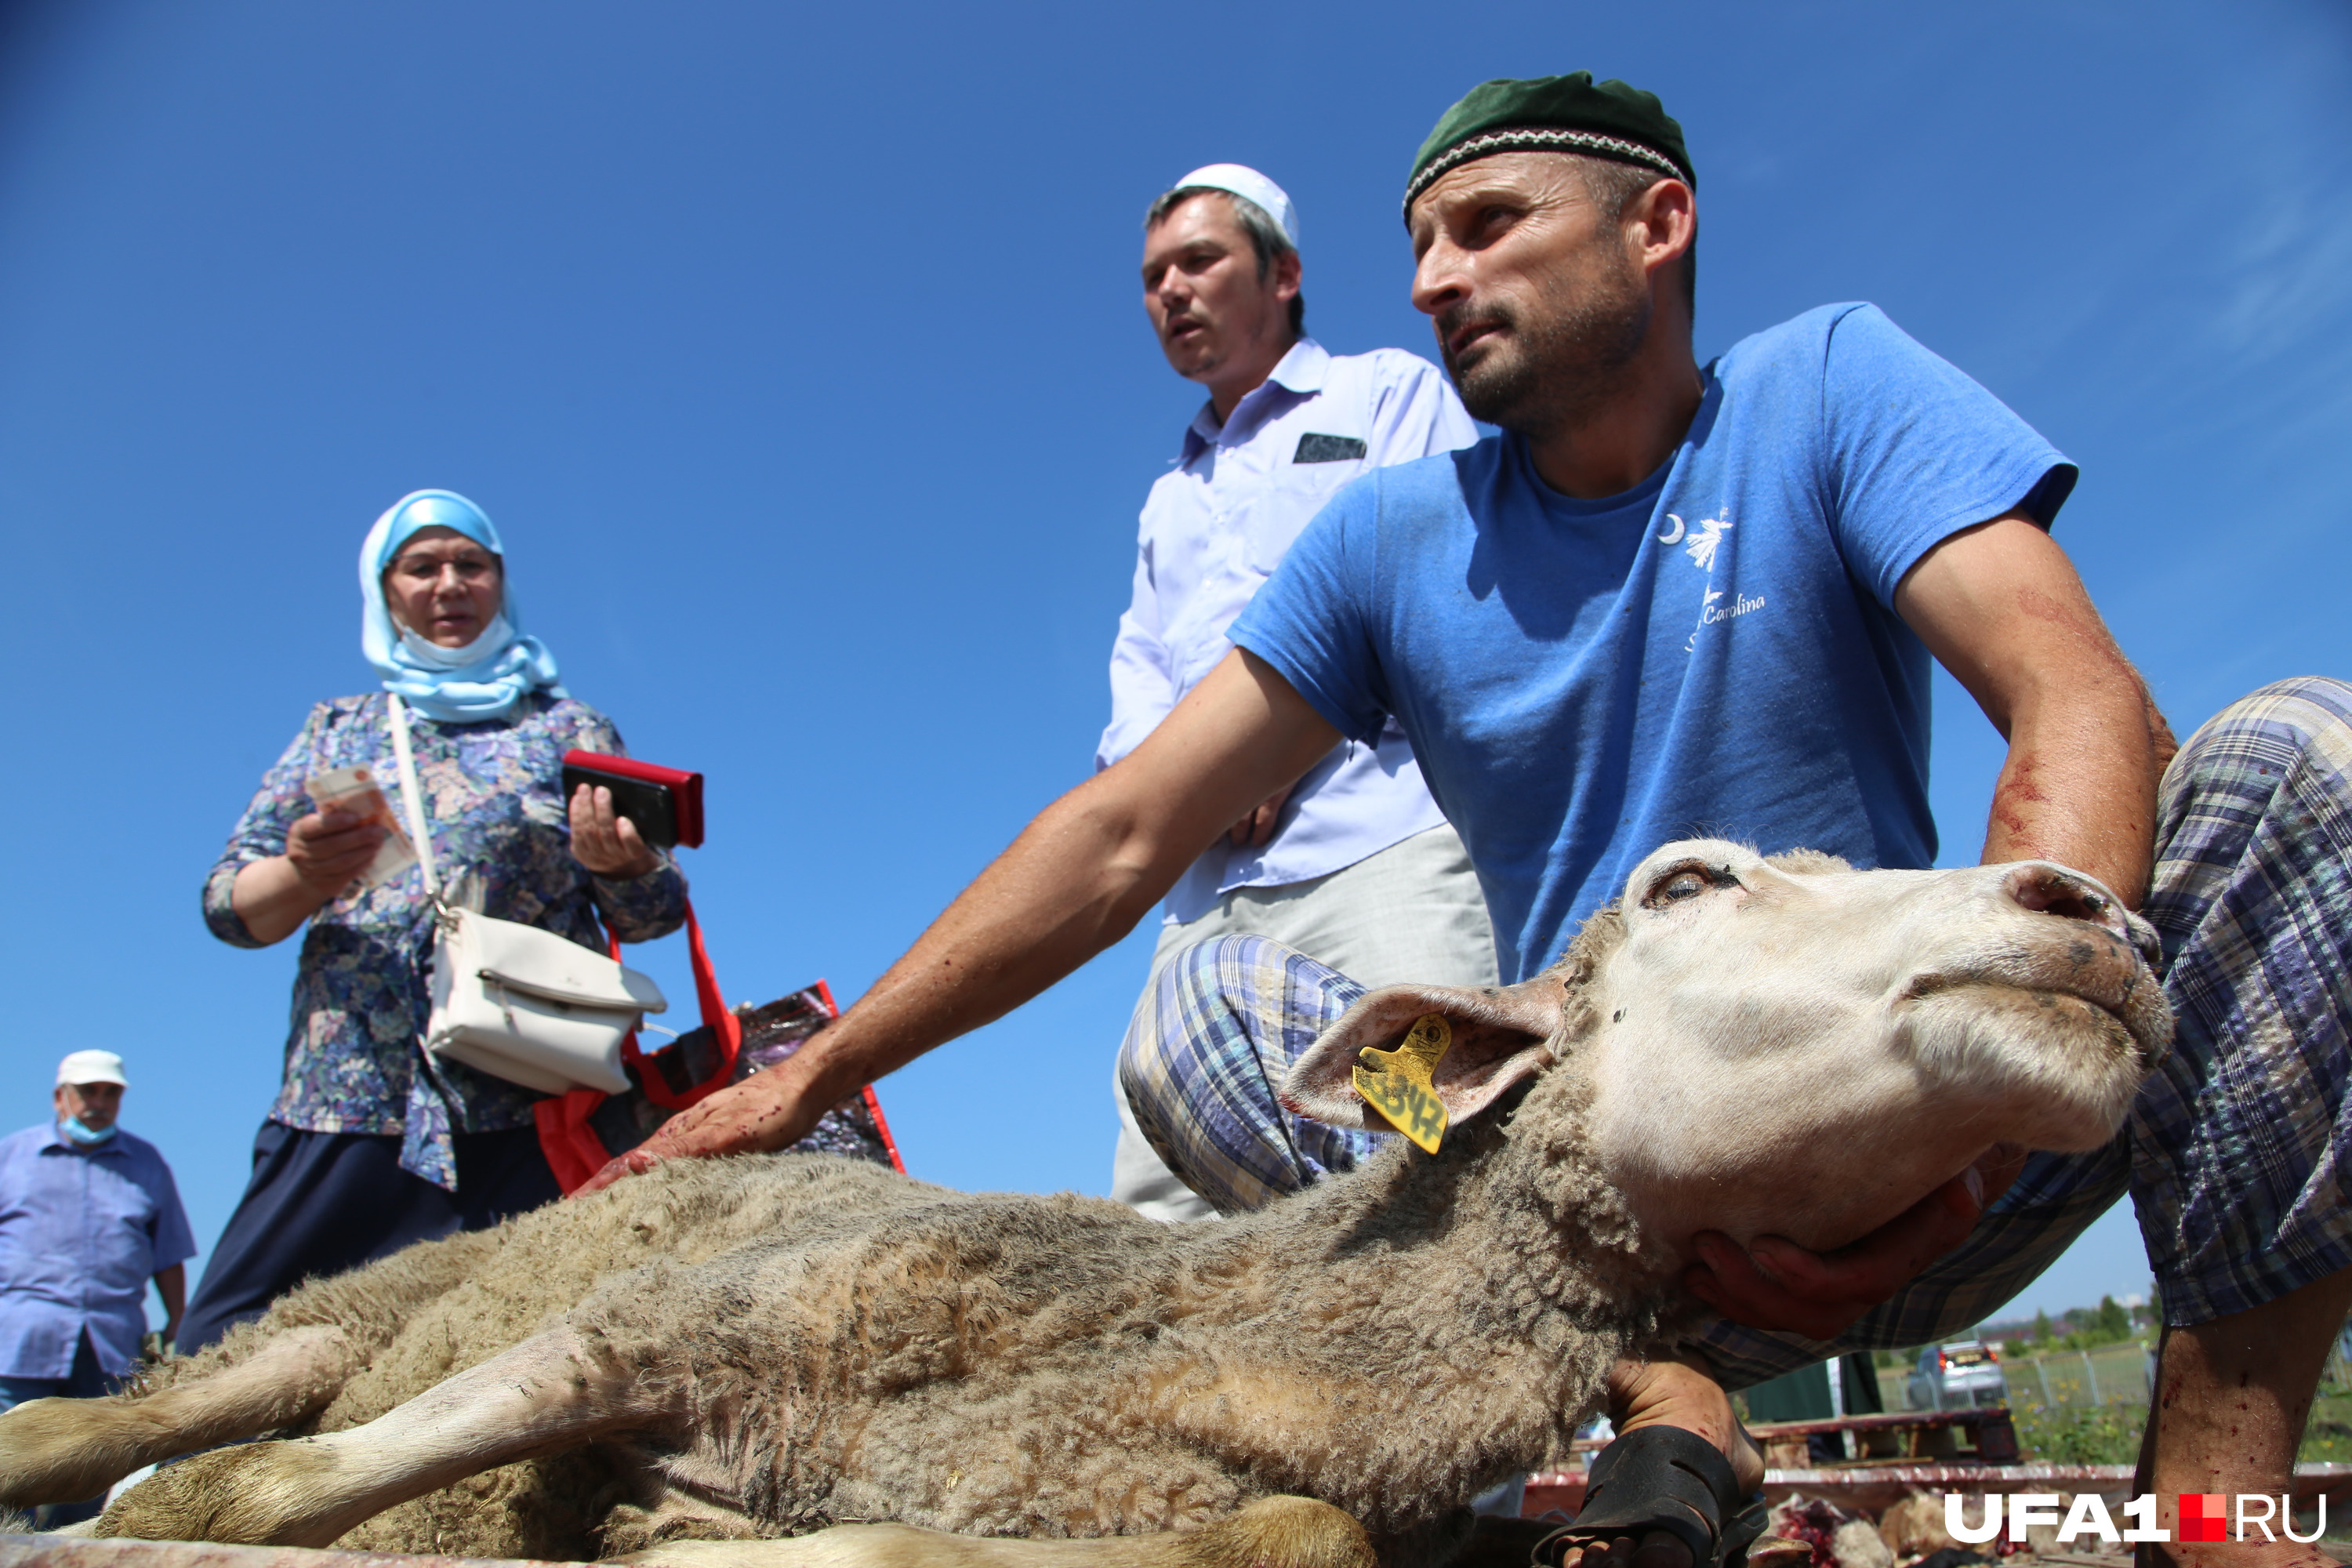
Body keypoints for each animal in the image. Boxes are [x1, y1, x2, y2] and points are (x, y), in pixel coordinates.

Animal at [0, 846, 2164, 1568]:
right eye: (1693, 879)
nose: (2101, 914)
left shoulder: (1176, 1484)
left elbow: (1294, 1532)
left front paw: (706, 1530)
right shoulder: (695, 1316)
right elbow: (266, 1500)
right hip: (328, 1316)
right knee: (159, 1429)